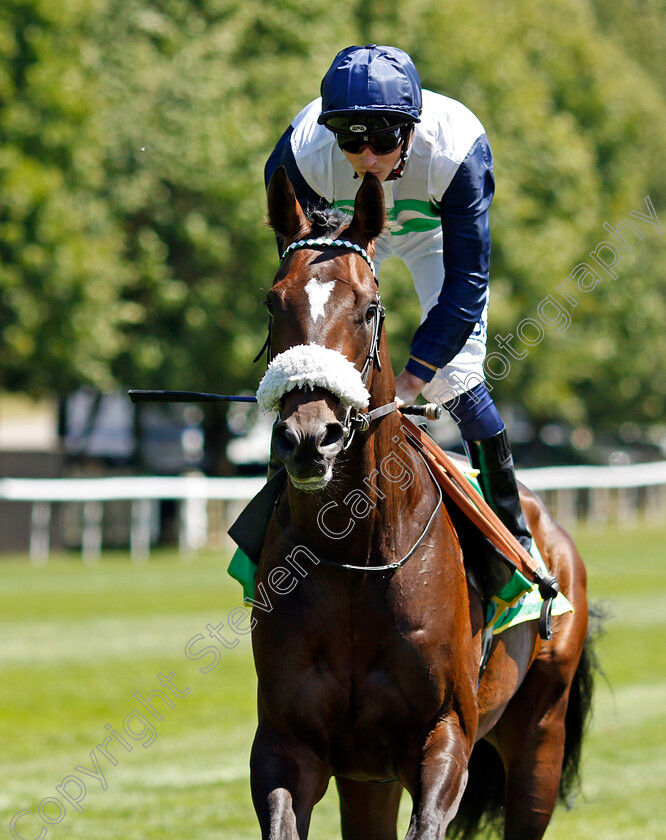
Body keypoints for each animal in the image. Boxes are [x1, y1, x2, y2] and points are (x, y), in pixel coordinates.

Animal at [249, 166, 592, 840]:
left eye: (369, 308)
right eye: (274, 302)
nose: (308, 438)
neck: (355, 556)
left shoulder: (444, 738)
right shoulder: (286, 744)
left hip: (540, 730)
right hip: (368, 779)